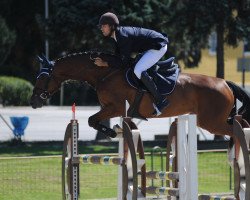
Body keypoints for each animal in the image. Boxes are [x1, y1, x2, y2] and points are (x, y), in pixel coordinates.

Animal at [30, 51, 250, 138]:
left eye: (42, 78)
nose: (33, 102)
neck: (105, 74)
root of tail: (225, 83)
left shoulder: (115, 107)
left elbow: (92, 120)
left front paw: (111, 132)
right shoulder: (111, 109)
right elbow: (93, 121)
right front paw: (114, 131)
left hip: (211, 122)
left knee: (236, 130)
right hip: (215, 120)